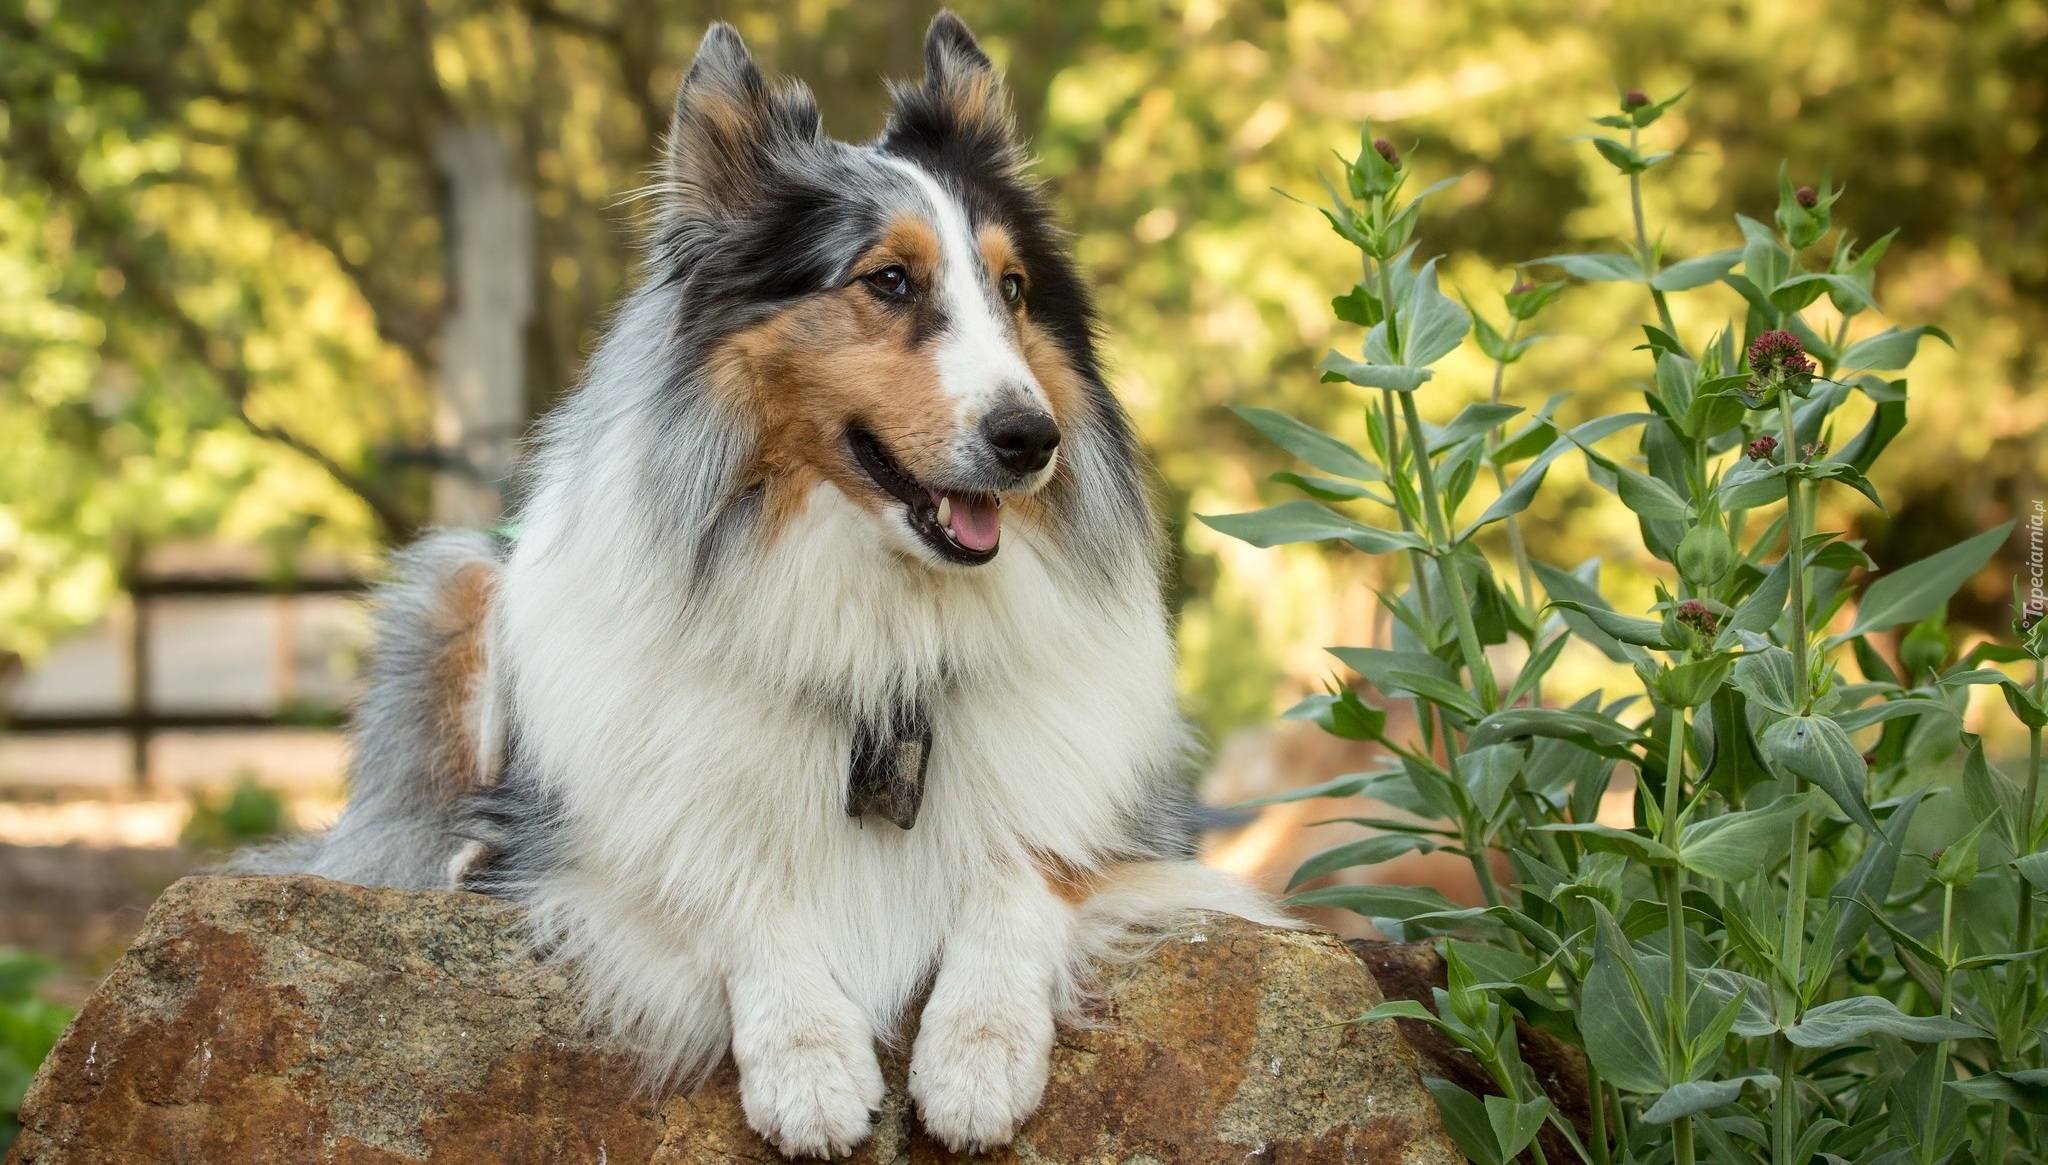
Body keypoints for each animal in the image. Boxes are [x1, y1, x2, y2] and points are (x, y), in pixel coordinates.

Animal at [243, 13, 1277, 1154]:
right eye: (888, 281)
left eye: (1011, 291)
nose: (1031, 440)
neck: (878, 617)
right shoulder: (650, 819)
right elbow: (732, 883)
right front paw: (809, 1061)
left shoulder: (1107, 821)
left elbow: (1019, 867)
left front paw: (978, 1052)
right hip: (460, 579)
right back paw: (464, 856)